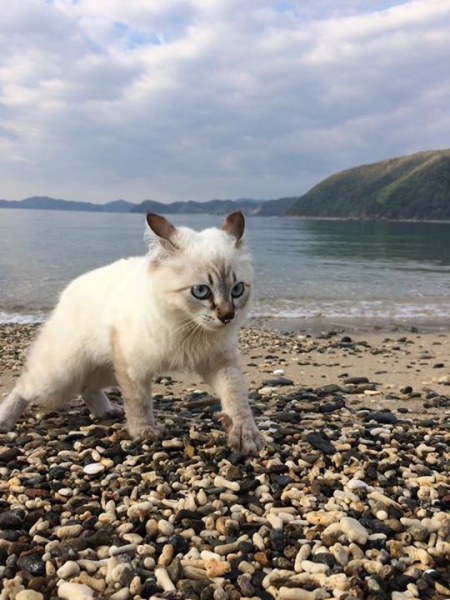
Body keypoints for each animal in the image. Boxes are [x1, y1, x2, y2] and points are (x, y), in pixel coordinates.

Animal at [0, 211, 264, 454]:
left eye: (237, 290)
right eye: (201, 291)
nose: (227, 316)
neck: (188, 325)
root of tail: (67, 291)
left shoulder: (221, 363)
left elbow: (237, 397)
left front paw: (246, 435)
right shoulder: (133, 367)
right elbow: (139, 403)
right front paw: (144, 432)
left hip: (104, 370)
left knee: (87, 387)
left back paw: (107, 411)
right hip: (61, 376)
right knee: (23, 387)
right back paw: (5, 421)